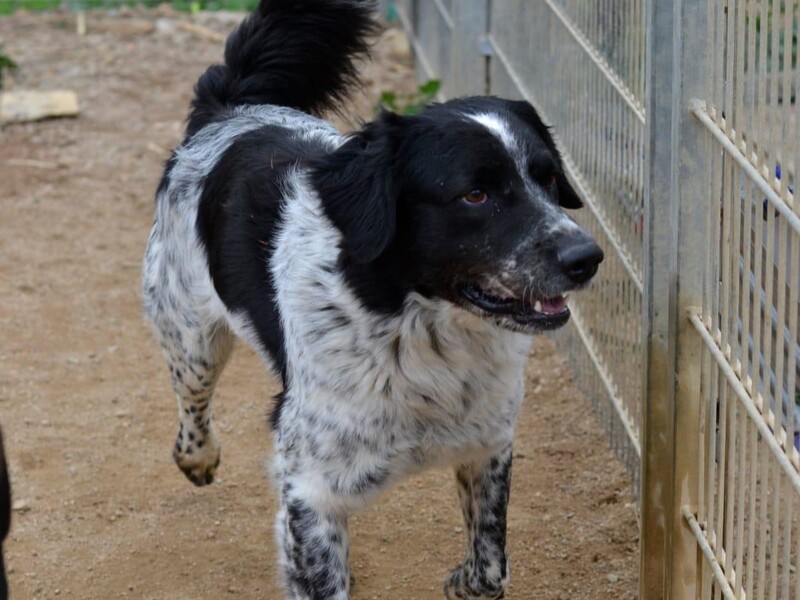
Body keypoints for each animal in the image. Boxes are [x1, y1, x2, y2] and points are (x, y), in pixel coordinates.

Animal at [142, 1, 603, 598]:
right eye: (475, 194)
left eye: (548, 180)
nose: (587, 257)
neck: (422, 334)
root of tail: (232, 107)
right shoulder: (309, 489)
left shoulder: (489, 445)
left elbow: (489, 570)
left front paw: (459, 581)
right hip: (189, 334)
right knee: (191, 404)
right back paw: (197, 457)